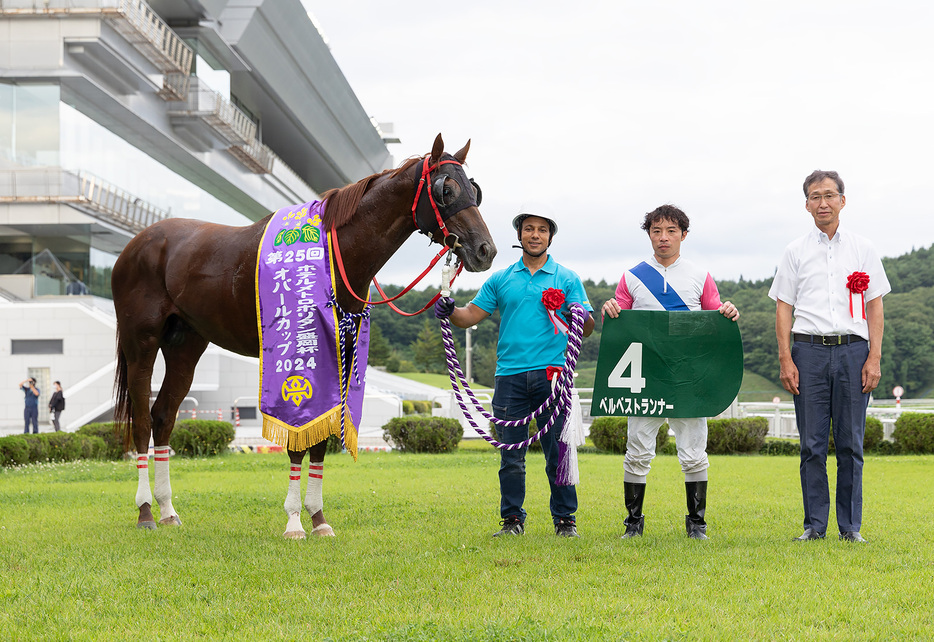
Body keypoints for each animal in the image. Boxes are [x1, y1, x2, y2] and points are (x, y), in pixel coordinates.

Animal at [111, 135, 498, 536]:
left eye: (474, 189)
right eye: (446, 189)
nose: (485, 250)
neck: (333, 254)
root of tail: (138, 244)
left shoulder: (340, 349)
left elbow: (322, 435)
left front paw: (318, 517)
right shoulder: (299, 350)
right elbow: (298, 437)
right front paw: (295, 520)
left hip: (185, 344)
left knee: (163, 417)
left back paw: (167, 510)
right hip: (141, 342)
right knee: (141, 420)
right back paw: (145, 511)